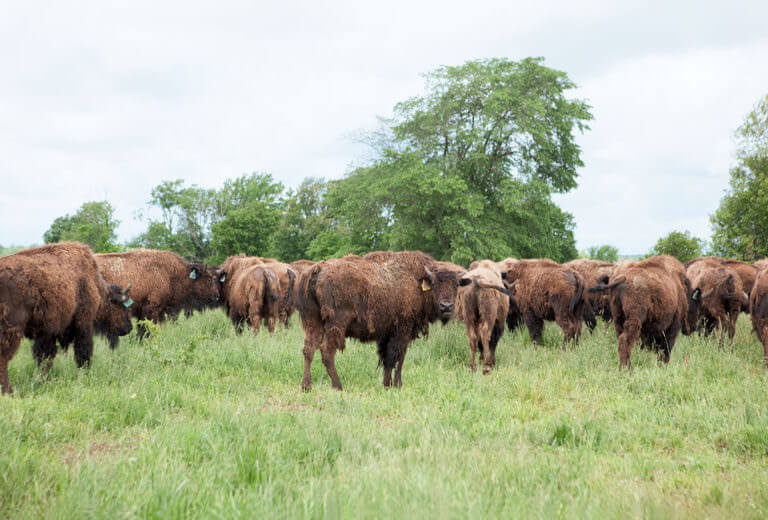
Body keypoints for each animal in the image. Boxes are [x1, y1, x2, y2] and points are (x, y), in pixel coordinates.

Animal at [0, 244, 134, 394]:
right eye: (123, 306)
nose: (129, 328)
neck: (99, 290)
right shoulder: (83, 325)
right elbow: (83, 353)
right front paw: (84, 375)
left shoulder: (47, 333)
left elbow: (45, 357)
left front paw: (43, 380)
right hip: (11, 329)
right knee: (3, 358)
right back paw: (8, 391)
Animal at [296, 251, 460, 390]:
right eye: (435, 283)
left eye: (456, 285)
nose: (447, 306)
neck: (417, 282)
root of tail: (318, 268)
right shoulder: (402, 332)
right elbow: (397, 358)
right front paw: (395, 385)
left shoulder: (387, 334)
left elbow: (387, 359)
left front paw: (387, 384)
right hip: (337, 323)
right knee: (326, 351)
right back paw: (338, 386)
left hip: (313, 321)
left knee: (309, 349)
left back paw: (306, 386)